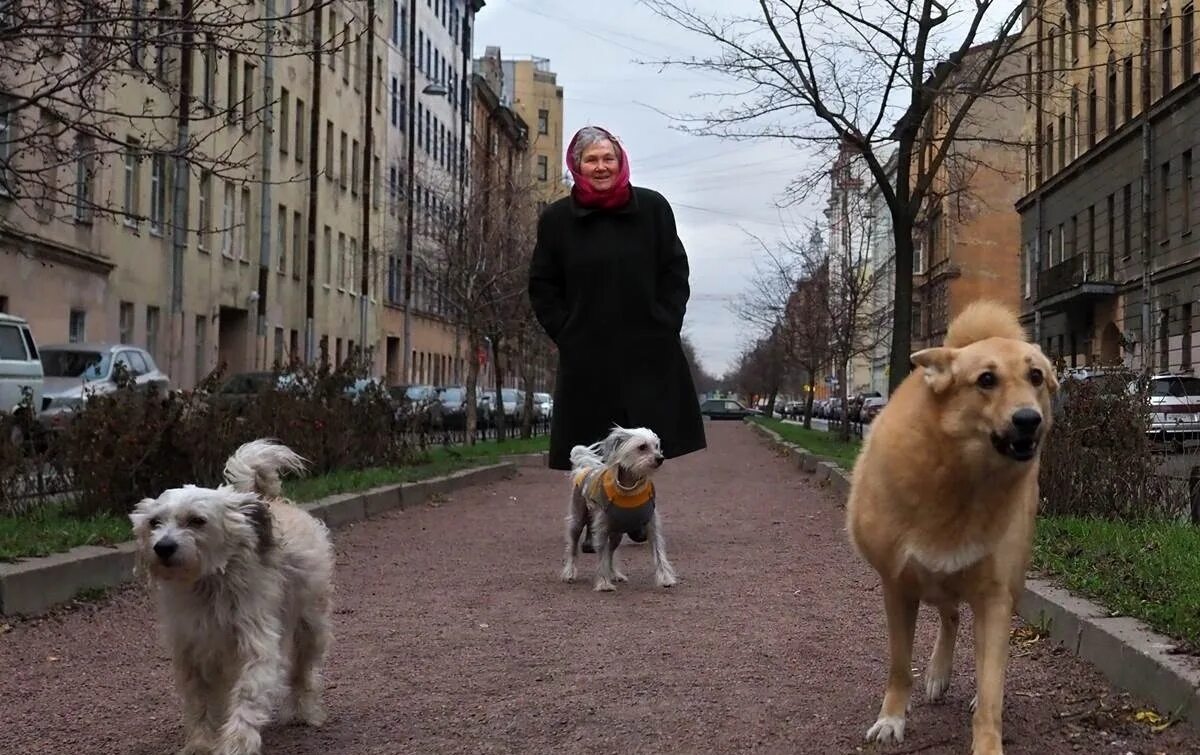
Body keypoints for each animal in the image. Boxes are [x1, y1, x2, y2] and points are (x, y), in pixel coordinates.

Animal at [131, 439, 336, 748]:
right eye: (154, 522)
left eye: (197, 521)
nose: (163, 547)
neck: (209, 586)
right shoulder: (193, 652)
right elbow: (201, 704)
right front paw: (201, 744)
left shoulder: (257, 645)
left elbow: (247, 697)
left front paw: (237, 742)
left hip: (310, 626)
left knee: (302, 672)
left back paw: (303, 711)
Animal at [559, 427, 681, 592]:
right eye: (642, 447)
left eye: (656, 446)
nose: (660, 458)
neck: (630, 489)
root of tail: (585, 469)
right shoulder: (601, 530)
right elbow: (601, 557)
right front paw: (604, 583)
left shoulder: (652, 527)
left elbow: (659, 553)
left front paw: (665, 579)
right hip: (577, 521)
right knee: (573, 548)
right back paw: (570, 573)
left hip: (617, 534)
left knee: (611, 553)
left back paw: (615, 574)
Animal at [849, 300, 1056, 753]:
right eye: (986, 380)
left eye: (1035, 376)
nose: (1029, 419)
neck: (960, 477)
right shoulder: (898, 586)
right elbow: (899, 666)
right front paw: (892, 718)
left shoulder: (994, 596)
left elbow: (992, 684)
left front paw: (988, 740)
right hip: (934, 581)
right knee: (949, 615)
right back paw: (937, 675)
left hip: (1003, 580)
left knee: (961, 622)